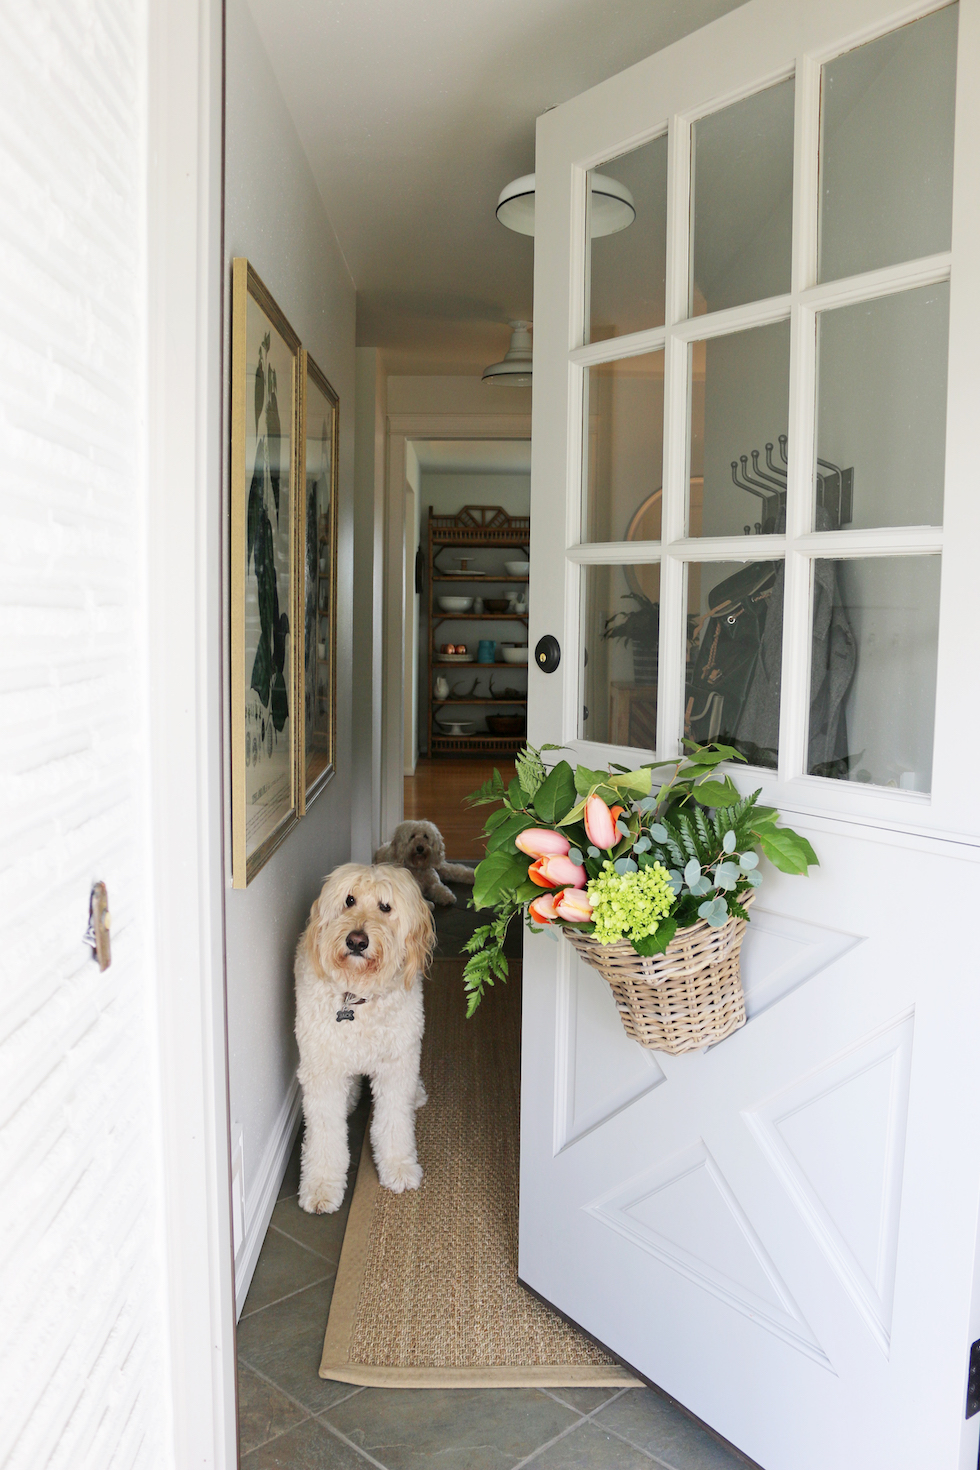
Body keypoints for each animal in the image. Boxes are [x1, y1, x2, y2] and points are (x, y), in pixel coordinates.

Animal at [293, 858, 434, 1217]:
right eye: (349, 900)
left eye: (385, 906)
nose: (357, 940)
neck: (356, 996)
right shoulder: (323, 1068)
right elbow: (324, 1135)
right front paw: (321, 1185)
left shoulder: (396, 1065)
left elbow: (394, 1122)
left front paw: (399, 1166)